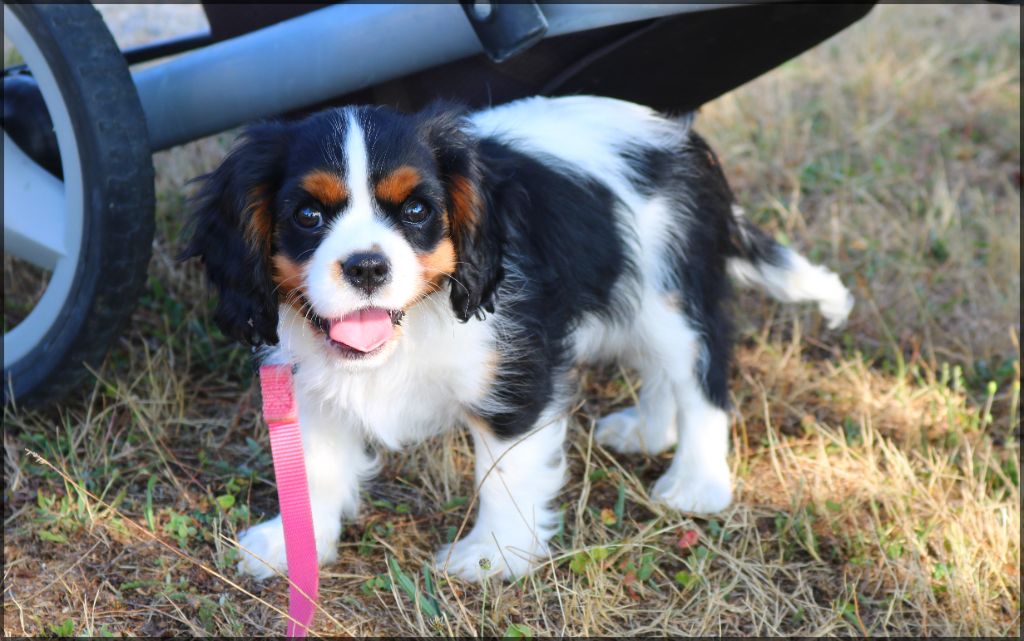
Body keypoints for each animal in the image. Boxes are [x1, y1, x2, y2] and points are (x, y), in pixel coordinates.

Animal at [180, 94, 851, 577]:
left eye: (417, 211)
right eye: (308, 215)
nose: (367, 267)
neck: (415, 322)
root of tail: (683, 138)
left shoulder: (517, 377)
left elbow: (504, 473)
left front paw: (492, 556)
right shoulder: (311, 388)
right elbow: (315, 467)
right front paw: (295, 546)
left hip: (672, 296)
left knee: (700, 378)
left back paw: (697, 482)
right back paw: (647, 429)